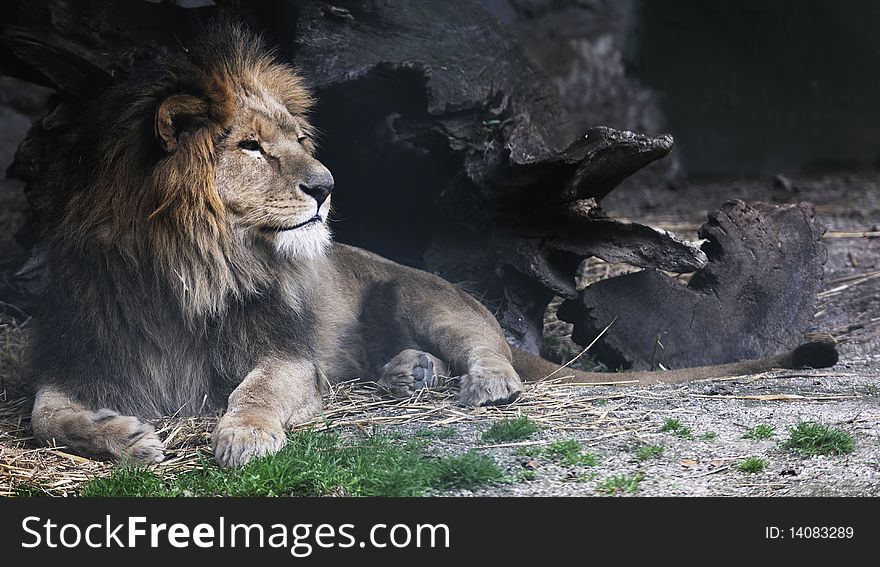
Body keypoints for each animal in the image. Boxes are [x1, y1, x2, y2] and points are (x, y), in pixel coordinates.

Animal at [27, 24, 840, 468]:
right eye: (251, 147)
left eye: (297, 141)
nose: (326, 185)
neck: (191, 265)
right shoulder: (87, 355)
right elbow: (46, 414)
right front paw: (129, 436)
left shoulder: (285, 355)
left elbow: (255, 391)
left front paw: (243, 437)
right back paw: (406, 374)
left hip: (426, 295)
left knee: (486, 345)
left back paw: (478, 382)